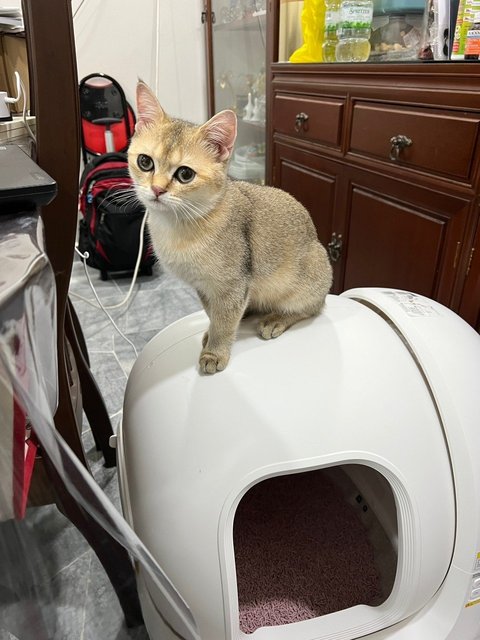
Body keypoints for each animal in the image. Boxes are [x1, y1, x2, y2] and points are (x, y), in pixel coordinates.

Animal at [125, 82, 332, 378]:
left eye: (185, 174)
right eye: (145, 162)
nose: (156, 189)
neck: (179, 227)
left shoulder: (231, 284)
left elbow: (224, 321)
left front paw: (215, 352)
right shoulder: (203, 287)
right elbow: (214, 314)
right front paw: (211, 334)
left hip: (310, 278)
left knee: (311, 308)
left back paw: (276, 319)